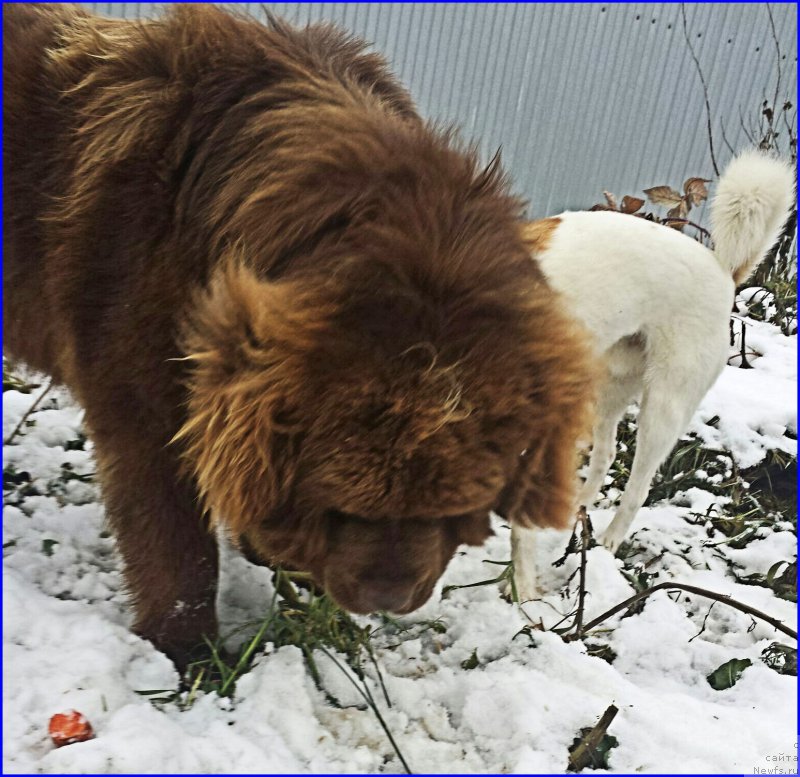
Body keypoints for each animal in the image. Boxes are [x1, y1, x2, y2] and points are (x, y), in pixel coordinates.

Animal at [3, 1, 592, 668]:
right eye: (340, 504)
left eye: (450, 506)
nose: (388, 596)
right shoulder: (143, 412)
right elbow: (176, 549)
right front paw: (192, 655)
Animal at [510, 149, 796, 596]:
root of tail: (721, 268)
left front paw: (524, 596)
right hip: (607, 384)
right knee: (607, 453)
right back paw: (579, 505)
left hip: (663, 407)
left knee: (639, 484)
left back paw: (609, 541)